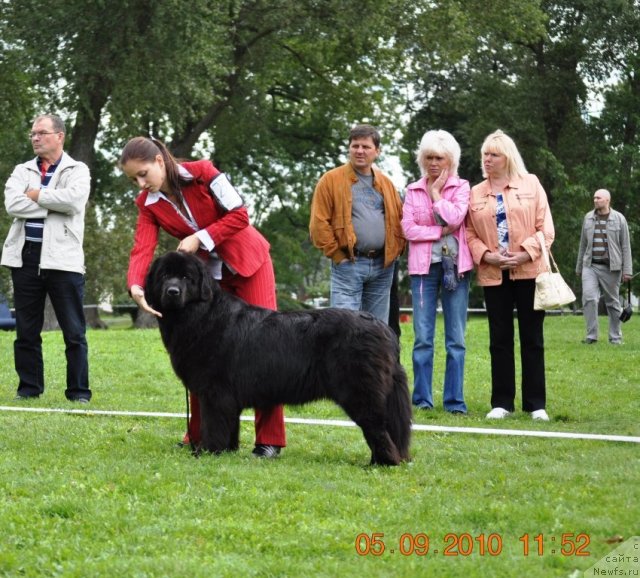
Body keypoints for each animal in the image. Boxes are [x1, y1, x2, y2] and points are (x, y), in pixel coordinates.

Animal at [148, 252, 412, 464]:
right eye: (165, 275)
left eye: (186, 278)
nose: (172, 291)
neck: (200, 314)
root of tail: (384, 329)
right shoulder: (227, 397)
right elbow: (229, 426)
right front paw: (227, 451)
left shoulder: (215, 393)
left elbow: (213, 425)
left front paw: (207, 451)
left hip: (360, 391)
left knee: (378, 428)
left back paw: (383, 463)